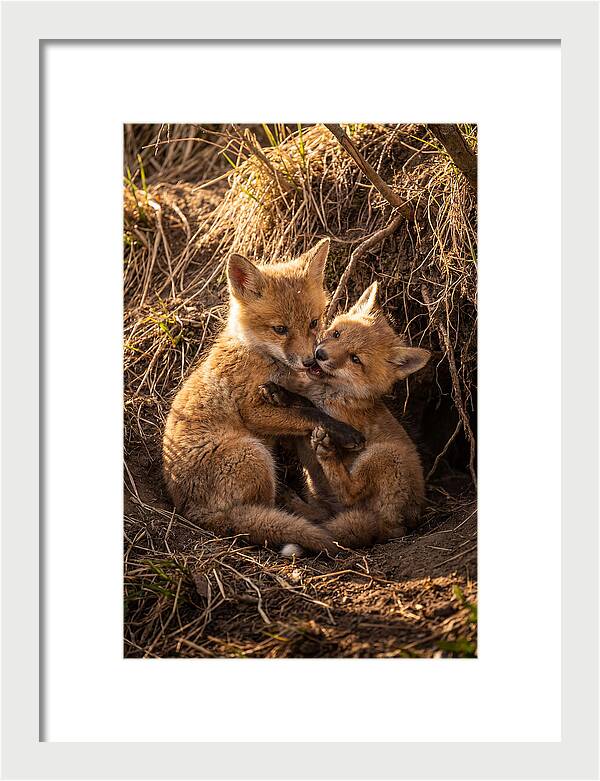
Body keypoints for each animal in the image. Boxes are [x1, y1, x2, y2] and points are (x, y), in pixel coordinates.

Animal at [162, 239, 365, 554]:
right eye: (280, 329)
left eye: (313, 322)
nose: (310, 361)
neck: (258, 355)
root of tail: (191, 512)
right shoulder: (252, 410)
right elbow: (309, 413)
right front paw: (345, 432)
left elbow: (304, 403)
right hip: (254, 454)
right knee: (264, 512)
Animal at [261, 281, 431, 555]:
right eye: (337, 334)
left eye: (355, 359)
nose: (320, 354)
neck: (328, 392)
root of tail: (399, 526)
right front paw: (280, 392)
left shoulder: (341, 421)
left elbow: (311, 408)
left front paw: (286, 396)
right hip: (322, 495)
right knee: (324, 514)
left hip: (383, 455)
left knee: (350, 492)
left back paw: (327, 454)